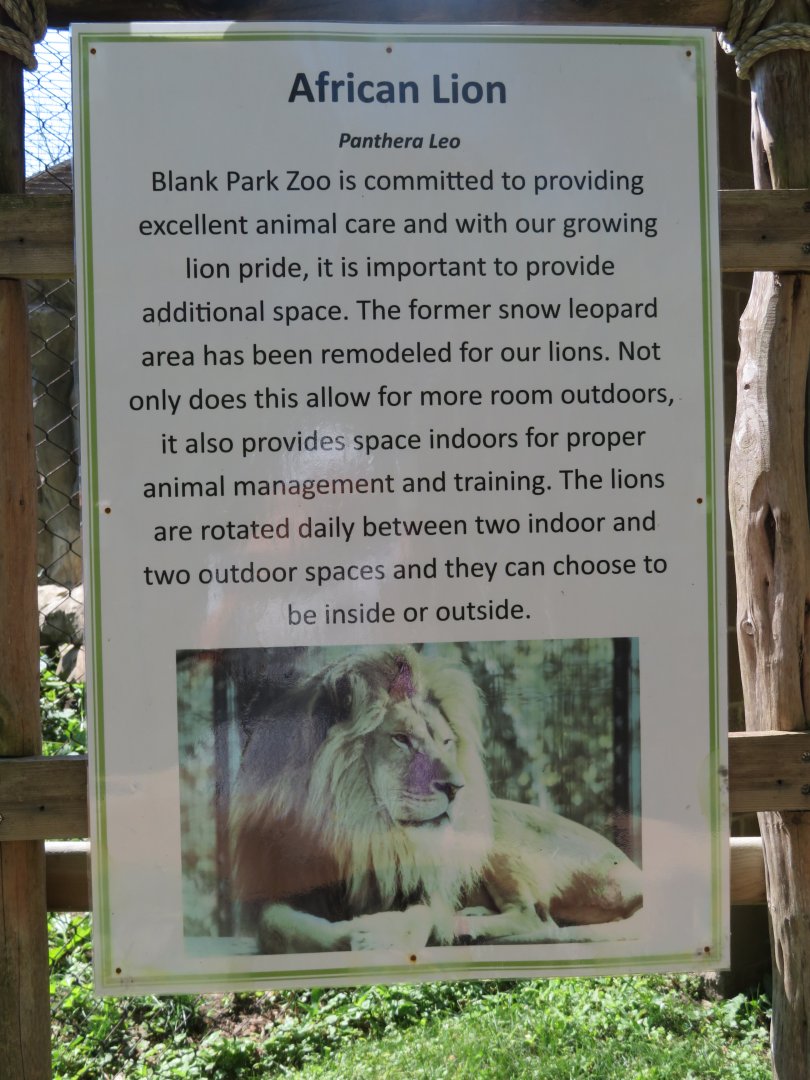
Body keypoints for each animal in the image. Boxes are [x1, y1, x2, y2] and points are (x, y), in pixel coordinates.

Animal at [230, 645, 643, 954]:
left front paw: (386, 933)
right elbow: (277, 927)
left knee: (540, 919)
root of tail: (631, 868)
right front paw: (355, 934)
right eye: (402, 739)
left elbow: (423, 914)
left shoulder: (430, 886)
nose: (457, 787)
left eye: (446, 741)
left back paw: (463, 926)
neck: (364, 831)